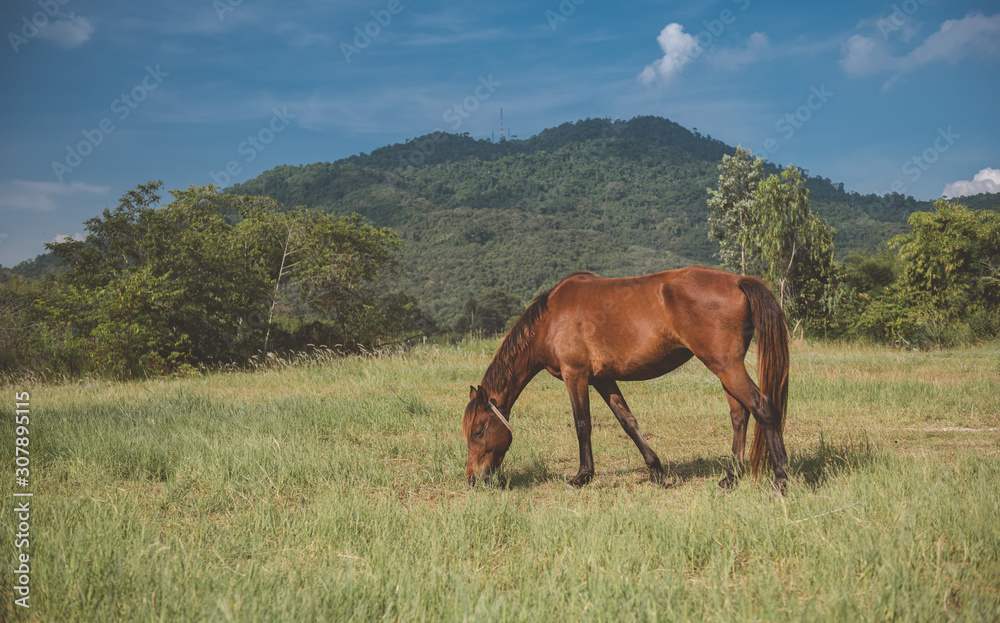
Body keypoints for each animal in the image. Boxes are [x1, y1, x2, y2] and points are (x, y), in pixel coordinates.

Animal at [460, 266, 788, 494]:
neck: (550, 320)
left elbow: (583, 425)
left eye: (478, 431)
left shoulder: (575, 375)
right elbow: (628, 422)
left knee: (763, 408)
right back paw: (731, 477)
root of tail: (737, 280)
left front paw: (582, 477)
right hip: (724, 370)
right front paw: (656, 470)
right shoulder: (603, 380)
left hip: (726, 367)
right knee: (739, 416)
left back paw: (781, 480)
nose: (473, 479)